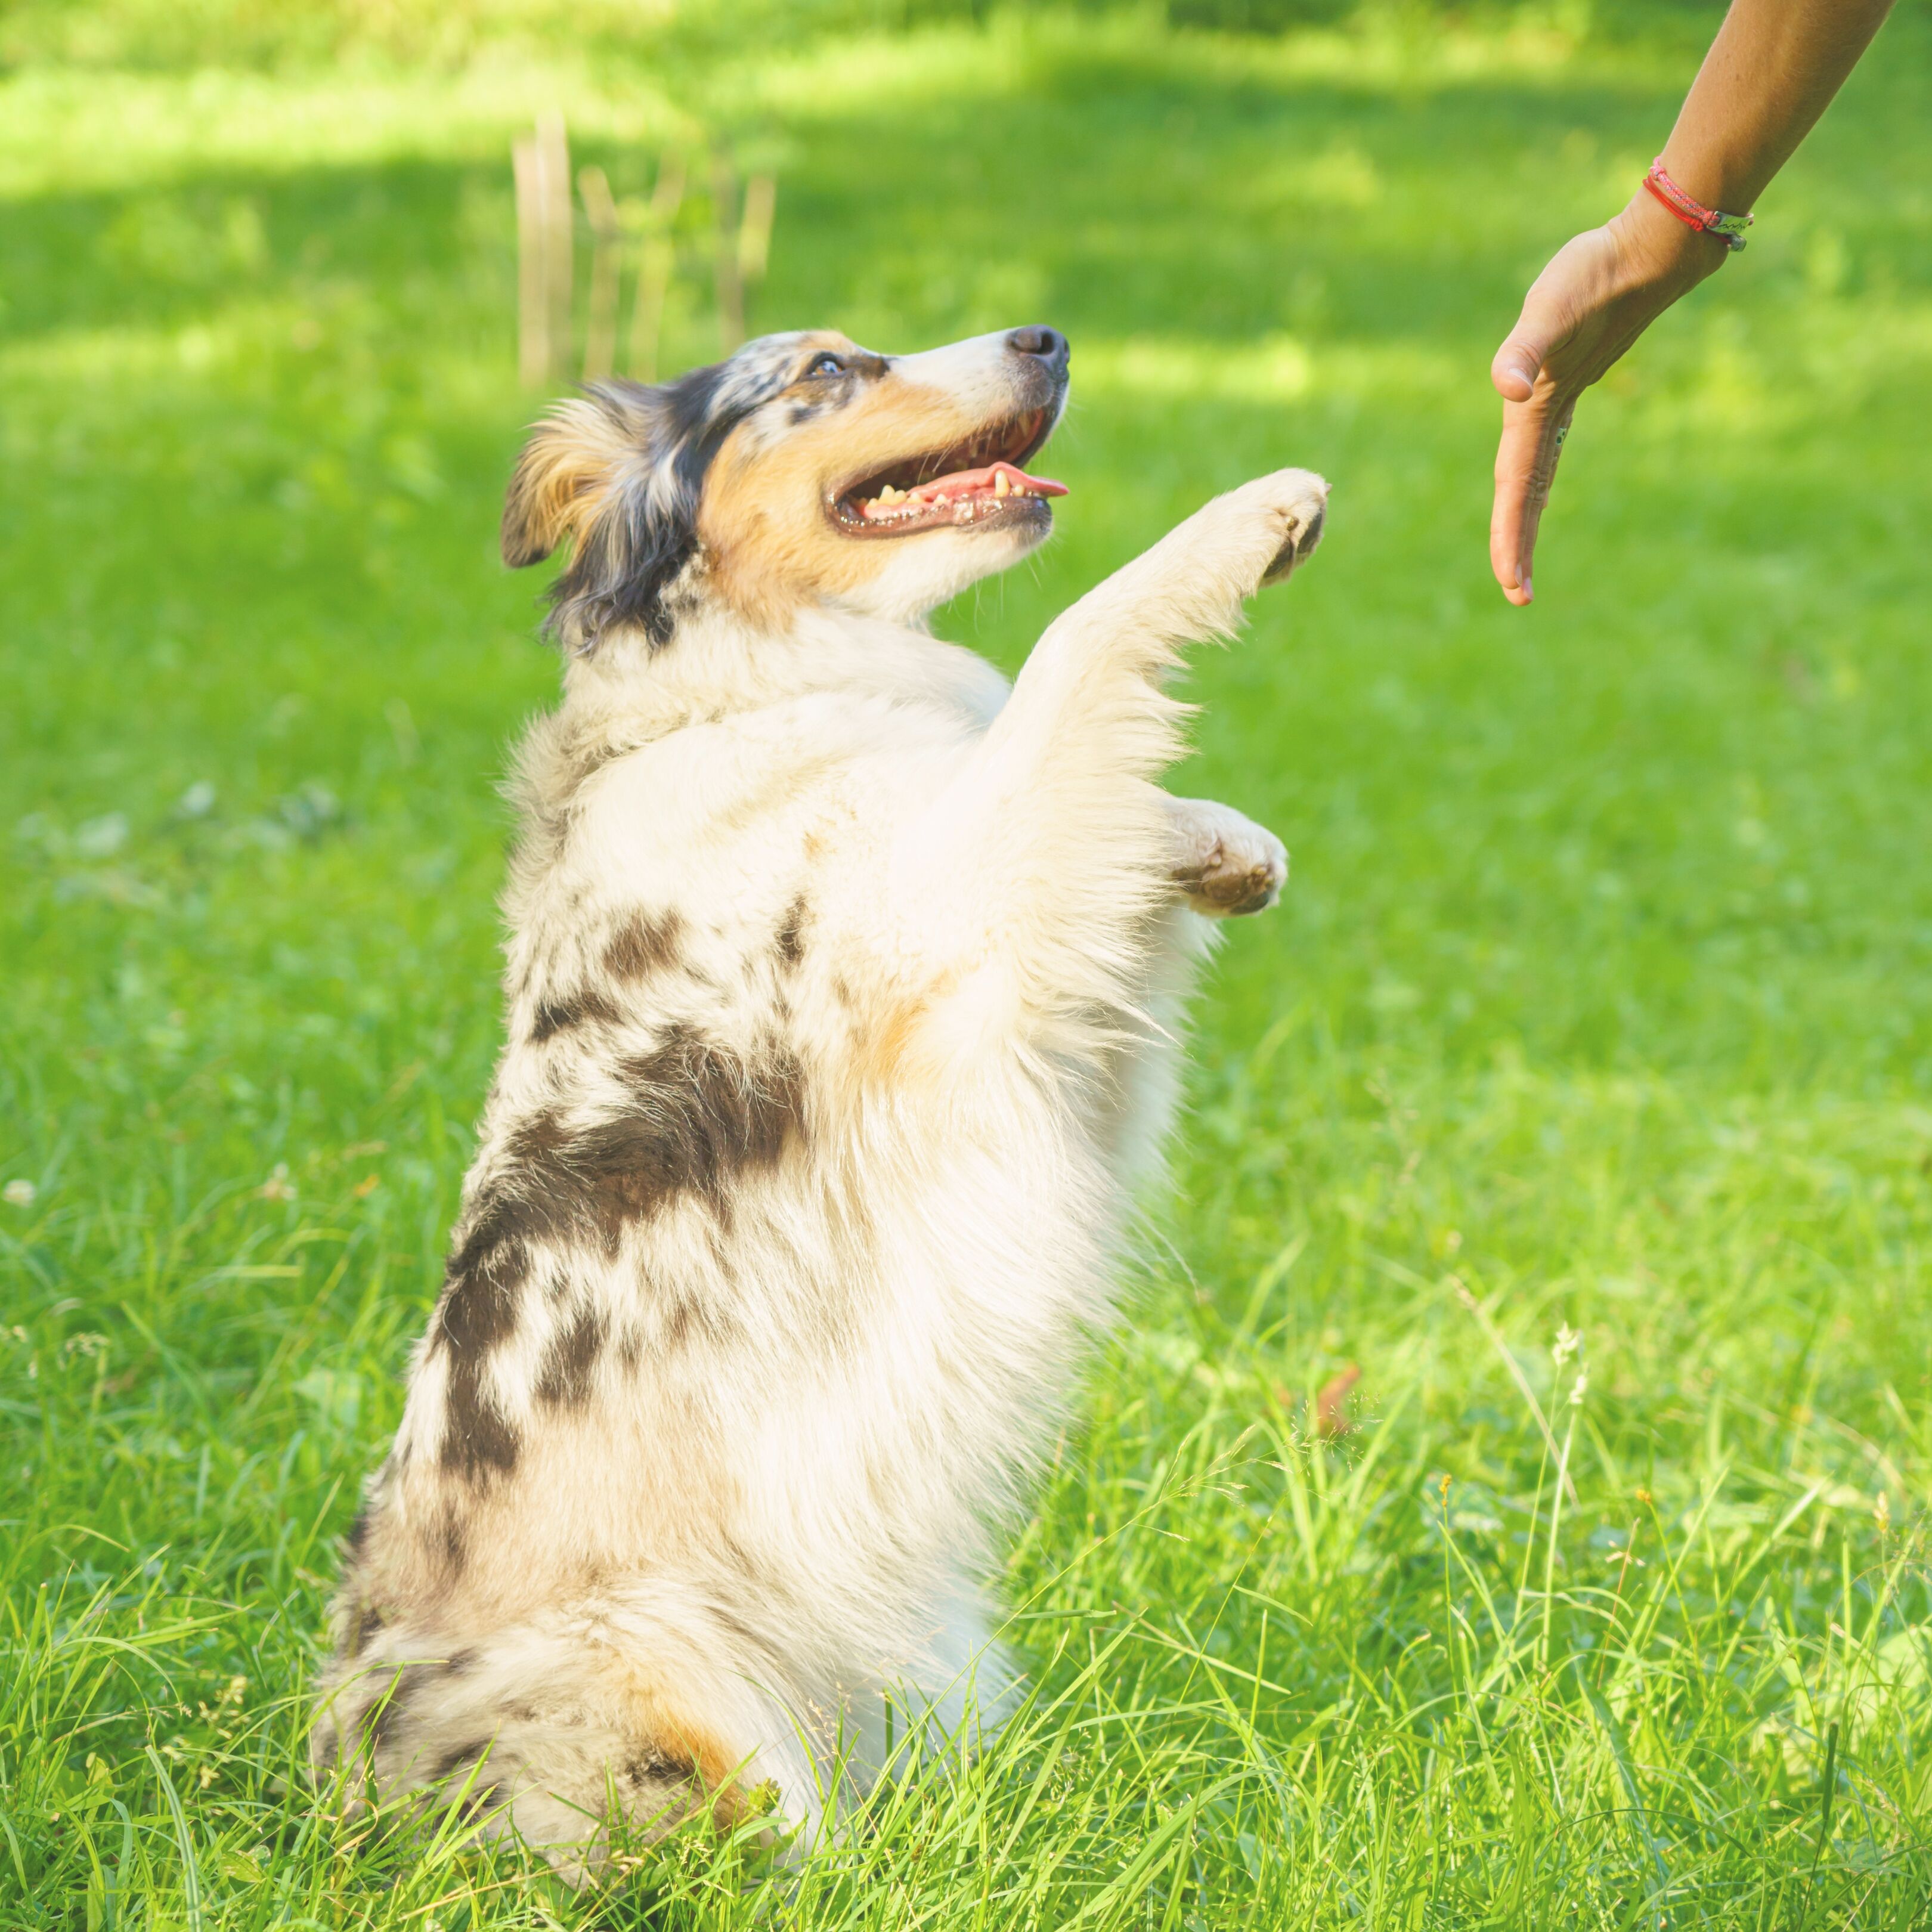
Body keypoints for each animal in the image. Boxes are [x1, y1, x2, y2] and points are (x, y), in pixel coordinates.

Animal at [312, 320, 1329, 1870]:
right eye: (828, 369)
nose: (1045, 336)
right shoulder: (960, 939)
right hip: (663, 1685)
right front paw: (1250, 517)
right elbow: (1071, 654)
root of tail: (334, 1788)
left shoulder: (1054, 1016)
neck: (748, 678)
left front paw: (1219, 844)